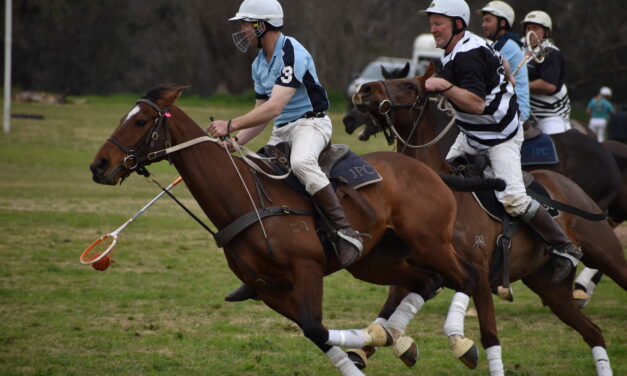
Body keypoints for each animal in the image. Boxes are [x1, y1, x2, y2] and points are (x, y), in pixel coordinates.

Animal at [89, 83, 490, 374]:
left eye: (141, 122)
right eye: (125, 117)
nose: (99, 166)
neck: (245, 198)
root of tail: (430, 171)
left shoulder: (307, 270)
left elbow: (317, 328)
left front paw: (375, 338)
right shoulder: (270, 289)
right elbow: (316, 334)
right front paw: (379, 342)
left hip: (431, 241)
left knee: (466, 276)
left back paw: (462, 345)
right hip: (375, 260)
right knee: (427, 281)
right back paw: (402, 341)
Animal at [350, 66, 624, 374]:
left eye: (408, 85)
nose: (363, 90)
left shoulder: (479, 275)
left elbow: (489, 336)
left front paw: (461, 346)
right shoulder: (415, 271)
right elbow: (385, 317)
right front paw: (365, 353)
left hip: (606, 254)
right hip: (550, 287)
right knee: (593, 332)